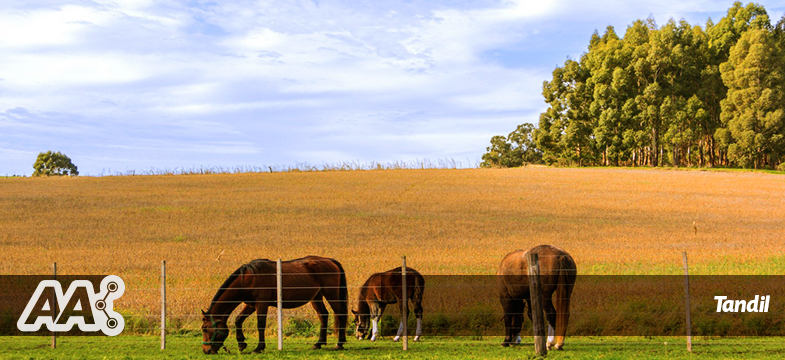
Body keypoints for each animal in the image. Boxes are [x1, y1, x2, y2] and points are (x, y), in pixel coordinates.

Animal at [201, 256, 348, 354]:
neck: (248, 278)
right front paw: (241, 343)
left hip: (330, 293)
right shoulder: (251, 304)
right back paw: (318, 343)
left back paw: (339, 344)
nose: (206, 350)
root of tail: (330, 260)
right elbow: (238, 320)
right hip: (316, 297)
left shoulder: (261, 303)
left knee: (340, 314)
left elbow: (260, 324)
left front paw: (259, 348)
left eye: (205, 329)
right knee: (323, 315)